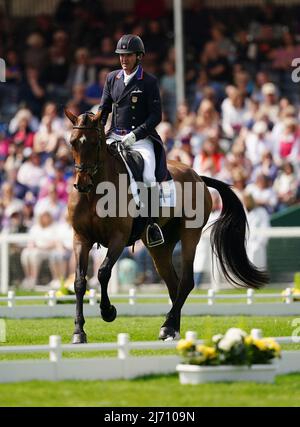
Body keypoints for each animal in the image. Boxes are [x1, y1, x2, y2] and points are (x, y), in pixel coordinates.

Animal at [64, 110, 268, 344]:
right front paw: (78, 331)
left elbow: (103, 272)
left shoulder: (118, 238)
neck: (94, 193)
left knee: (186, 282)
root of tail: (197, 175)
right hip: (160, 246)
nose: (82, 184)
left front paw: (108, 312)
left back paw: (168, 327)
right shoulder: (81, 239)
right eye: (72, 142)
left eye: (95, 143)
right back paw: (172, 328)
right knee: (173, 284)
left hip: (190, 235)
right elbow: (80, 282)